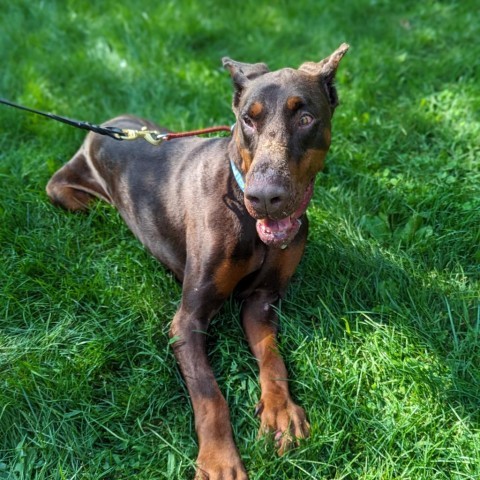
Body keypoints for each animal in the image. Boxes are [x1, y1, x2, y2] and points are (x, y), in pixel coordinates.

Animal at [47, 43, 348, 478]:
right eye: (247, 120)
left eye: (306, 118)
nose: (264, 197)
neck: (241, 210)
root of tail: (105, 125)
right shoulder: (187, 319)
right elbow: (209, 392)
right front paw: (220, 459)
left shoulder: (262, 301)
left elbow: (272, 359)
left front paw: (280, 412)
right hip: (65, 192)